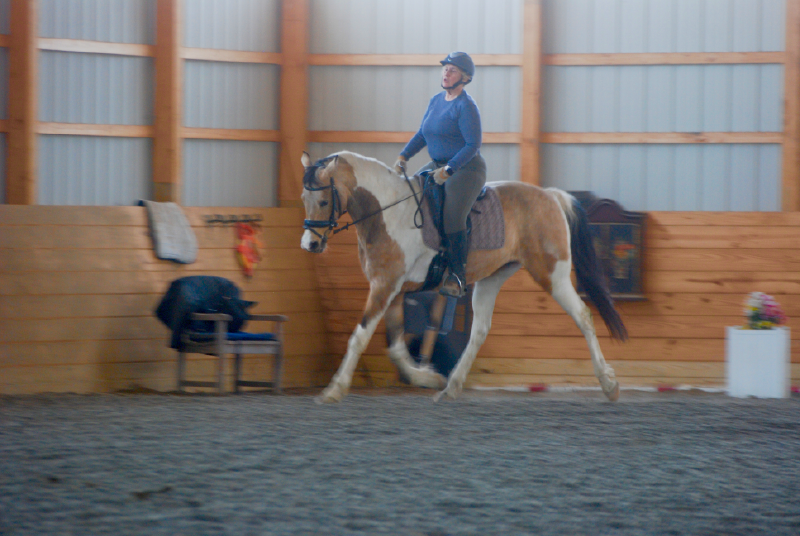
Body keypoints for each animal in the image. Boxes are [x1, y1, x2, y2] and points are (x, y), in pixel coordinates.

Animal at [300, 150, 628, 403]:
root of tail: (549, 195)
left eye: (324, 201)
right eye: (304, 198)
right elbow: (395, 347)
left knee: (583, 316)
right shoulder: (393, 290)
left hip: (552, 275)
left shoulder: (384, 287)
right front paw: (427, 377)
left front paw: (334, 389)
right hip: (491, 278)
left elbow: (359, 337)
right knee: (479, 330)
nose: (310, 244)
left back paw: (609, 384)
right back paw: (451, 386)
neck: (386, 213)